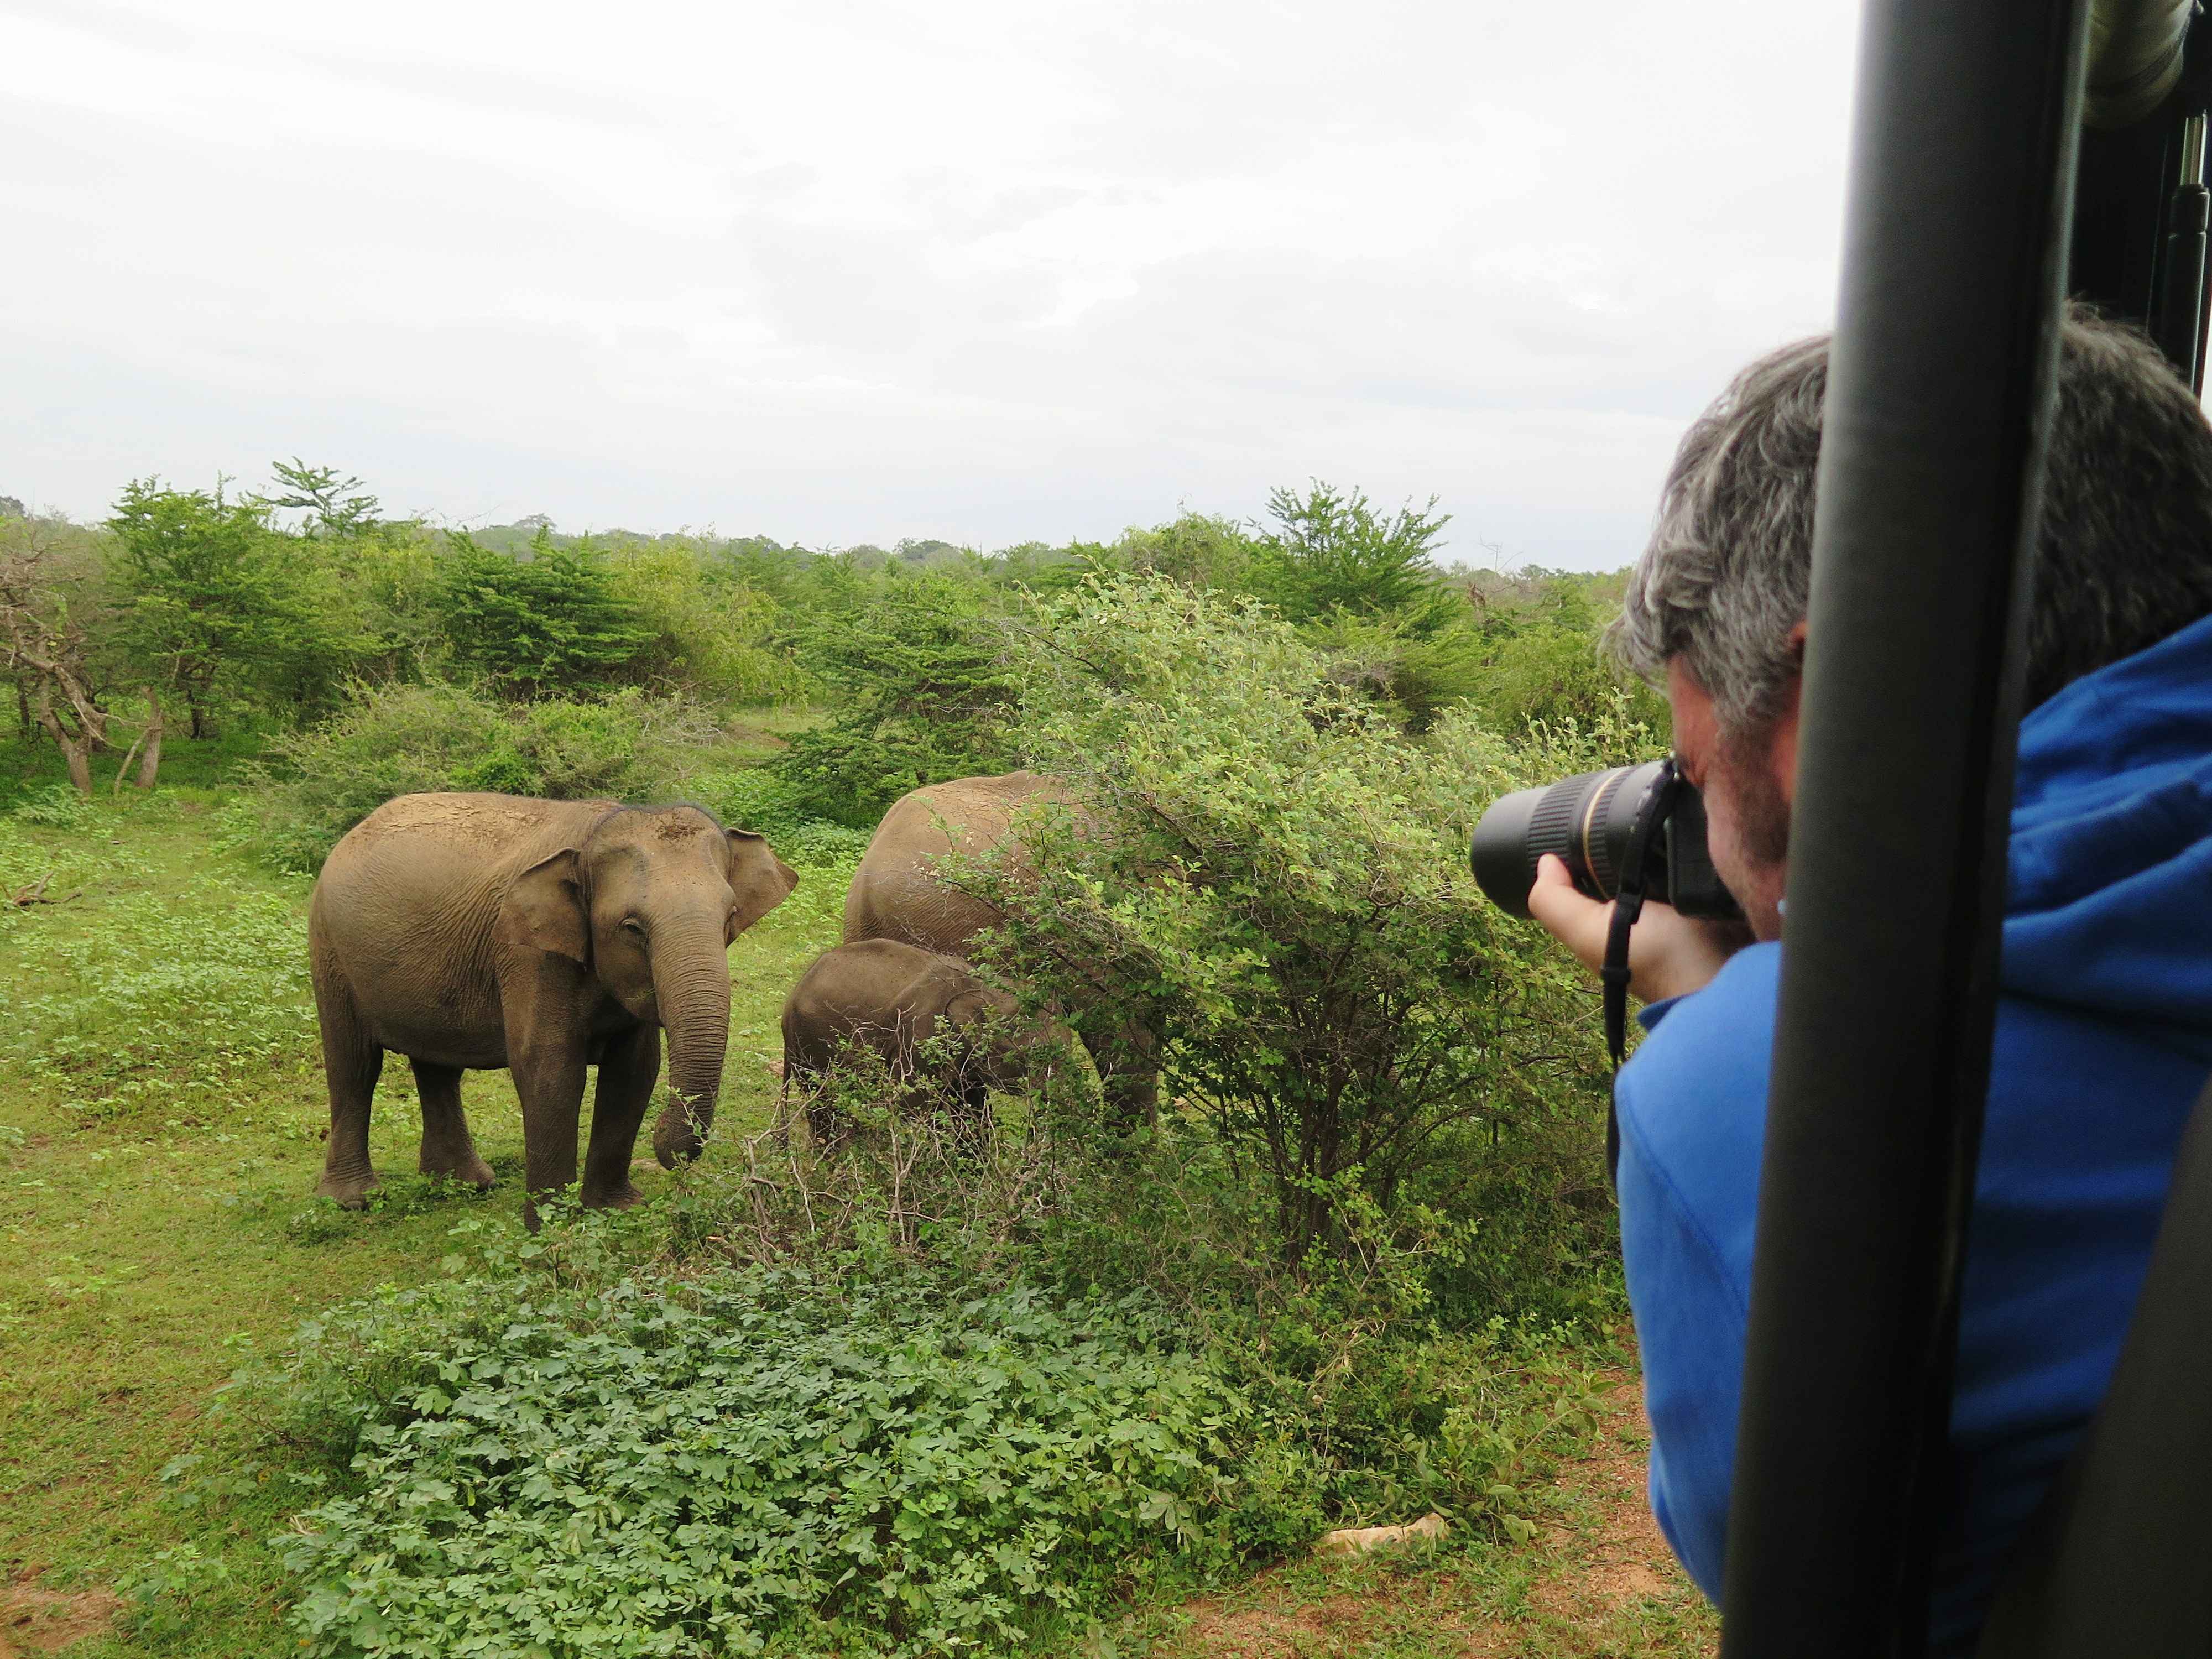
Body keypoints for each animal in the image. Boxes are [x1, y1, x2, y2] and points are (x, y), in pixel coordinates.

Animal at [308, 793, 797, 1215]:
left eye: (730, 917)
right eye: (632, 928)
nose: (671, 1155)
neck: (594, 833)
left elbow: (634, 1071)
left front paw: (617, 1208)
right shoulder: (527, 953)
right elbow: (551, 1070)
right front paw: (551, 1227)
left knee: (436, 1065)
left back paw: (467, 1184)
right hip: (328, 946)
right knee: (354, 1063)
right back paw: (355, 1201)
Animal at [780, 938, 1071, 1146]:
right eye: (1034, 1055)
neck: (987, 988)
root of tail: (791, 998)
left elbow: (973, 1108)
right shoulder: (920, 1036)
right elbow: (913, 1107)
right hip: (810, 1044)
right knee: (824, 1111)